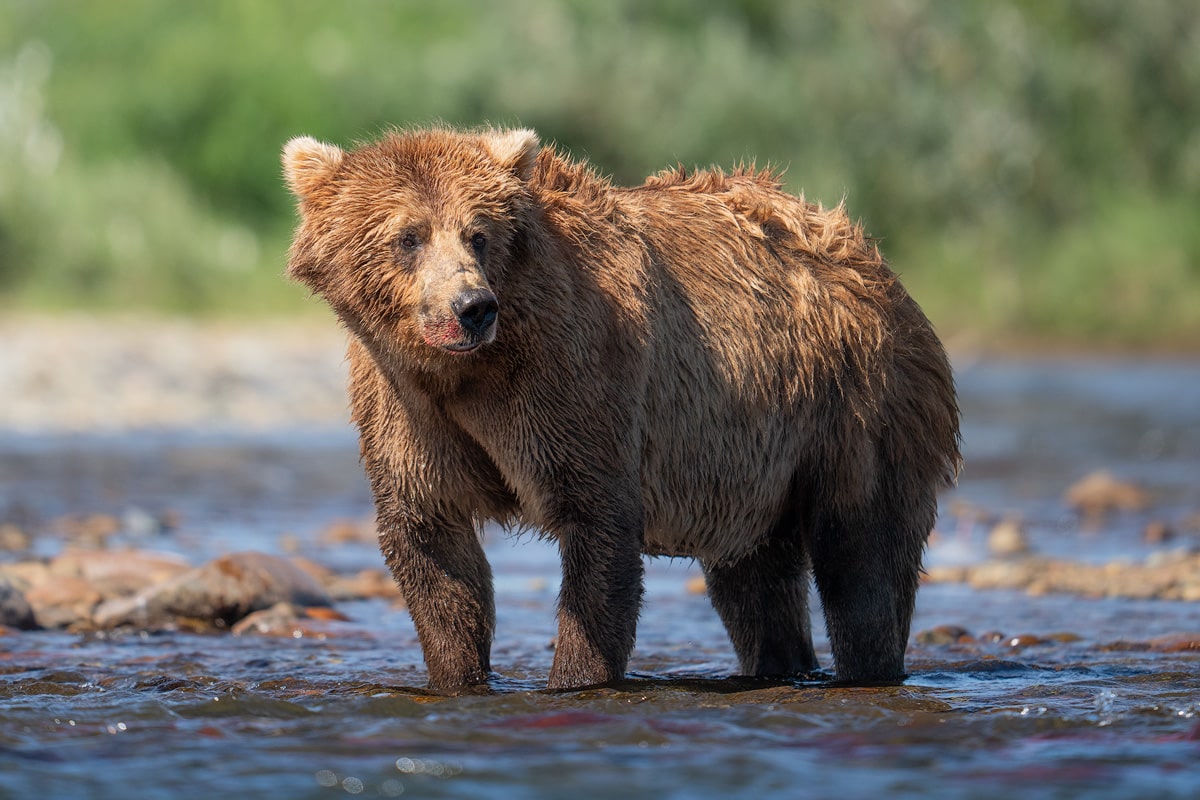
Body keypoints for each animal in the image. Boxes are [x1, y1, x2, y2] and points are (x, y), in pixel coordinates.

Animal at [285, 128, 960, 690]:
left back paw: (868, 668)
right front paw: (458, 676)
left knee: (863, 557)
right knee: (754, 578)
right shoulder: (404, 407)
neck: (467, 374)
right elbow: (433, 548)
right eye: (408, 236)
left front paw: (576, 678)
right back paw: (779, 666)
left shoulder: (571, 381)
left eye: (479, 233)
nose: (471, 306)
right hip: (753, 462)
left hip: (858, 403)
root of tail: (870, 257)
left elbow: (598, 528)